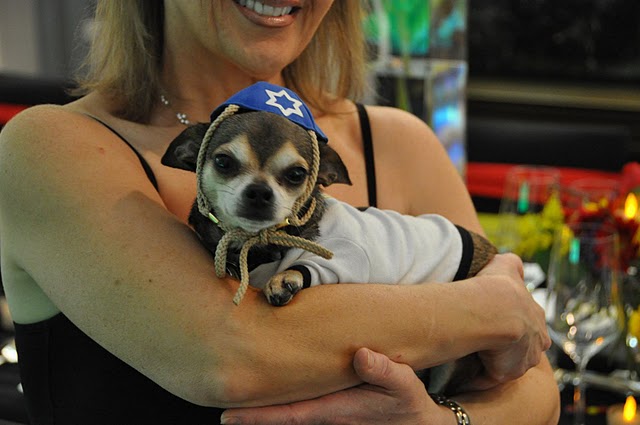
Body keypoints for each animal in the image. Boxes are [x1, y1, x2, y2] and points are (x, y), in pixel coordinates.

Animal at [160, 82, 498, 394]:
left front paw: (286, 279)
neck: (258, 244)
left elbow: (313, 268)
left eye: (296, 174)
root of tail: (492, 250)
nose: (259, 191)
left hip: (455, 358)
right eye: (223, 162)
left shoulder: (350, 258)